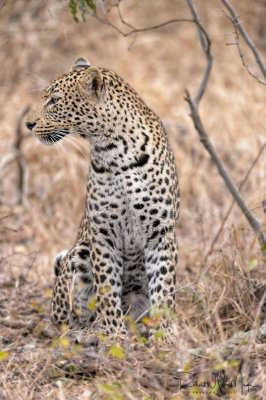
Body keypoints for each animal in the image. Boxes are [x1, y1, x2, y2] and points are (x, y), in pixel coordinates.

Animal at [26, 57, 180, 340]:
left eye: (53, 100)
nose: (28, 125)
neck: (114, 151)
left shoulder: (160, 233)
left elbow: (164, 288)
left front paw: (166, 335)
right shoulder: (102, 233)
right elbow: (107, 288)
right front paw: (113, 335)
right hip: (81, 250)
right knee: (70, 302)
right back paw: (85, 328)